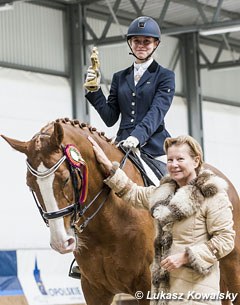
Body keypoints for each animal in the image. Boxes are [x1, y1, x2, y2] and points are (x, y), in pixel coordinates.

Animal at [1, 117, 240, 304]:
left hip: (232, 268)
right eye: (30, 185)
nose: (61, 242)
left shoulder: (146, 286)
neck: (109, 224)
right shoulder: (94, 290)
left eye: (66, 178)